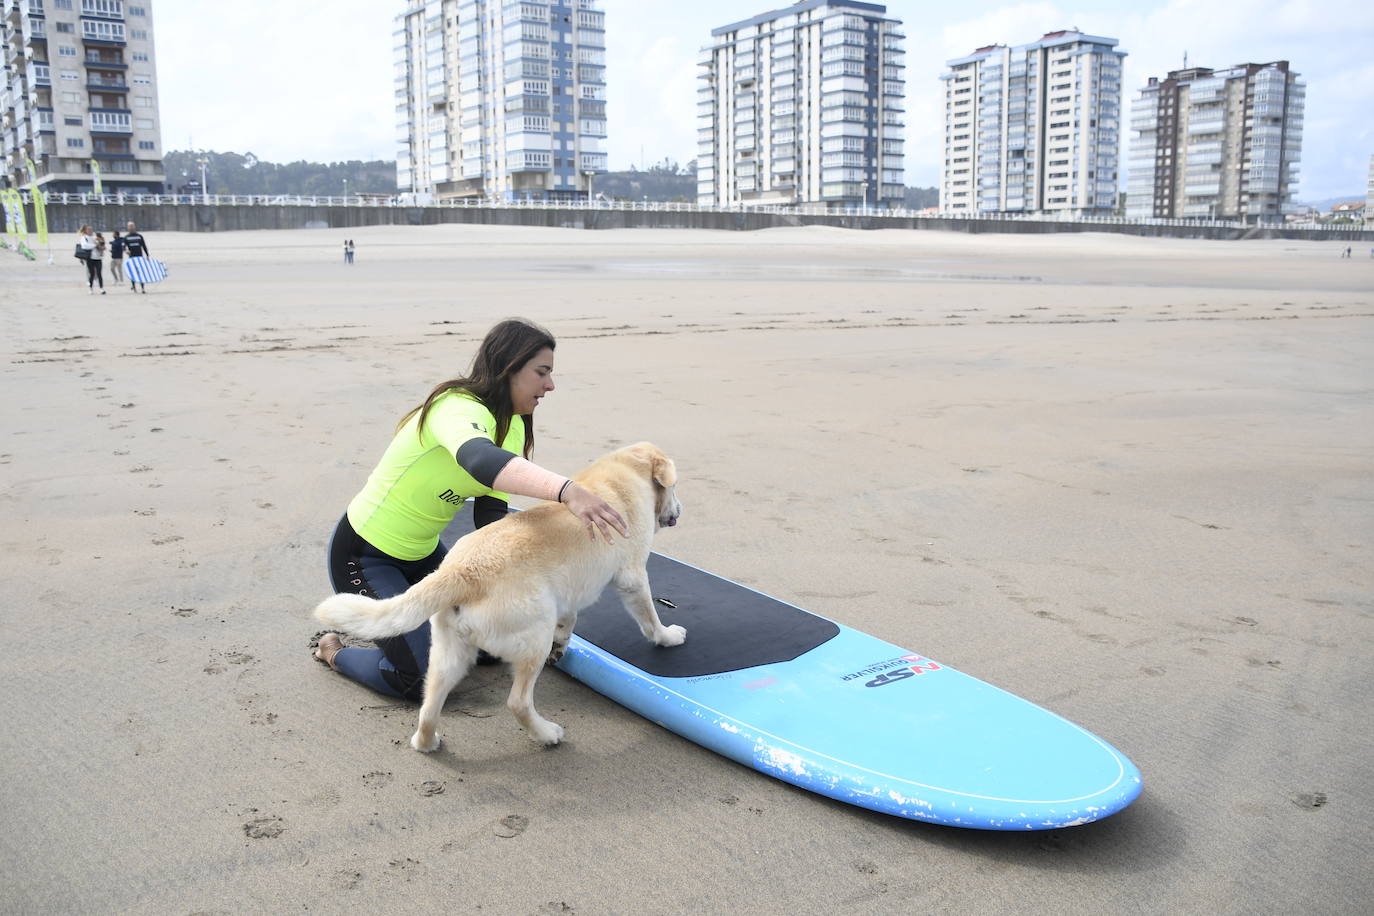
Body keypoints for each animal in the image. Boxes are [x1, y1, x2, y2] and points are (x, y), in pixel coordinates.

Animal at [309, 442, 678, 752]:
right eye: (675, 488)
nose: (680, 510)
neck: (624, 472)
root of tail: (462, 571)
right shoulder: (633, 576)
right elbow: (649, 617)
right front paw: (667, 637)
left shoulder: (568, 593)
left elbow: (570, 618)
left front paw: (564, 643)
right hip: (533, 636)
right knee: (518, 702)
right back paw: (547, 734)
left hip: (448, 652)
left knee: (429, 705)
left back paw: (427, 743)